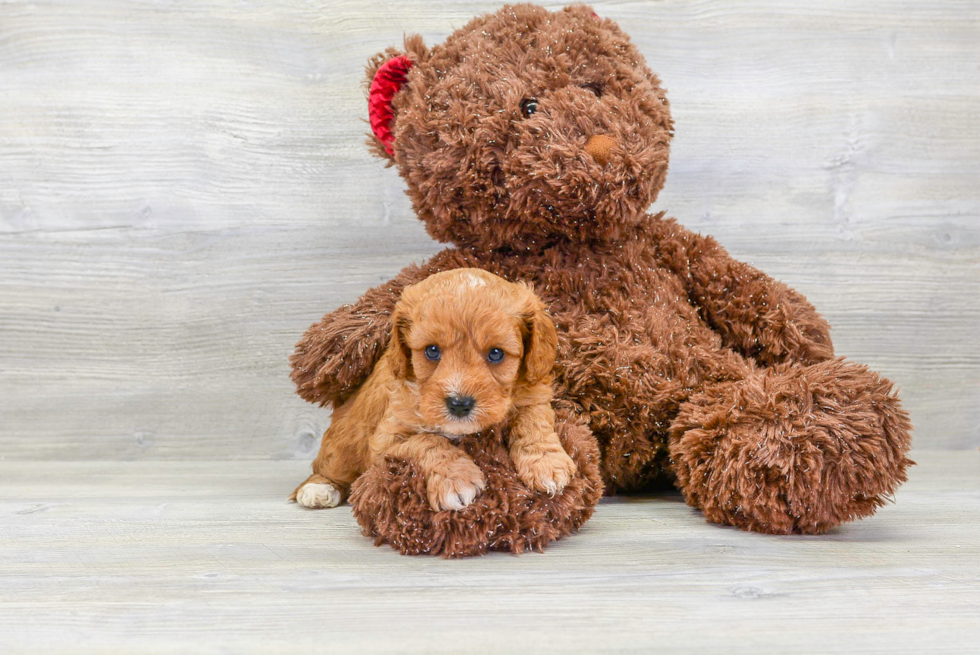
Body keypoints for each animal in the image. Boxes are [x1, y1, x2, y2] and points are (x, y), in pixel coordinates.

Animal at [290, 270, 576, 516]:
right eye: (432, 351)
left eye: (496, 353)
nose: (459, 404)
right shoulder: (385, 440)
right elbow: (428, 441)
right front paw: (457, 480)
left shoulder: (534, 394)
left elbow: (533, 422)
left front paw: (547, 463)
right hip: (342, 446)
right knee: (327, 468)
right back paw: (318, 489)